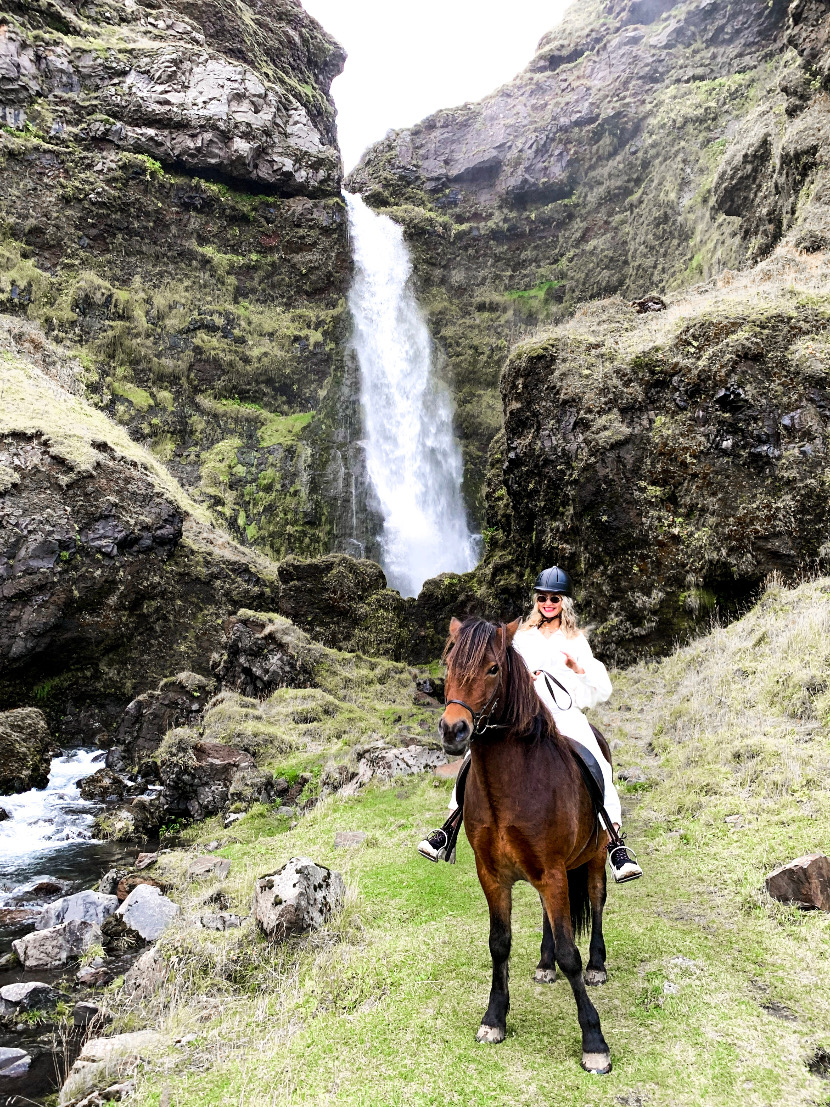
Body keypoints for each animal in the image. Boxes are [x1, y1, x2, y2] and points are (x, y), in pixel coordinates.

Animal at [444, 615, 615, 1071]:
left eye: (492, 669)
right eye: (447, 664)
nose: (453, 729)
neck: (512, 786)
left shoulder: (553, 872)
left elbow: (571, 953)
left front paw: (594, 1042)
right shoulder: (493, 875)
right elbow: (498, 944)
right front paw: (494, 1018)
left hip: (593, 858)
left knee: (596, 900)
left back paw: (597, 964)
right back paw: (544, 962)